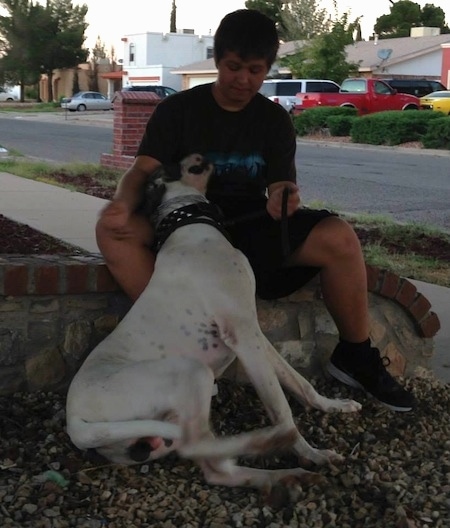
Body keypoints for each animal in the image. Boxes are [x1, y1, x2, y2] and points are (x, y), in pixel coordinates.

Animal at [66, 153, 362, 500]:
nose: (201, 154)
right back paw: (271, 445)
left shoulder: (255, 332)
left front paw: (333, 406)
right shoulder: (243, 335)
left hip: (162, 430)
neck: (190, 225)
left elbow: (298, 381)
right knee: (198, 448)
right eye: (174, 160)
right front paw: (310, 452)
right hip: (192, 372)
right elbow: (281, 408)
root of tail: (75, 421)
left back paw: (282, 475)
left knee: (214, 467)